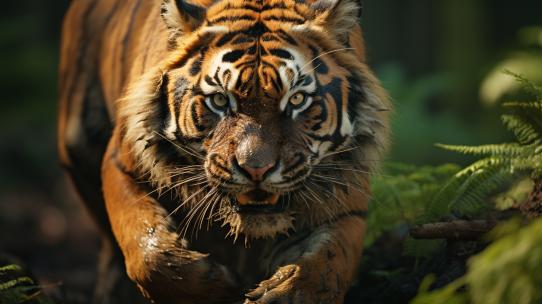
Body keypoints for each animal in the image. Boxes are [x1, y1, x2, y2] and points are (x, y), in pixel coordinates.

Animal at [58, 0, 392, 302]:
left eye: (297, 100)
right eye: (220, 100)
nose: (256, 169)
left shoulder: (346, 203)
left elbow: (327, 264)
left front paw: (285, 292)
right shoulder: (122, 164)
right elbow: (146, 251)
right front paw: (214, 286)